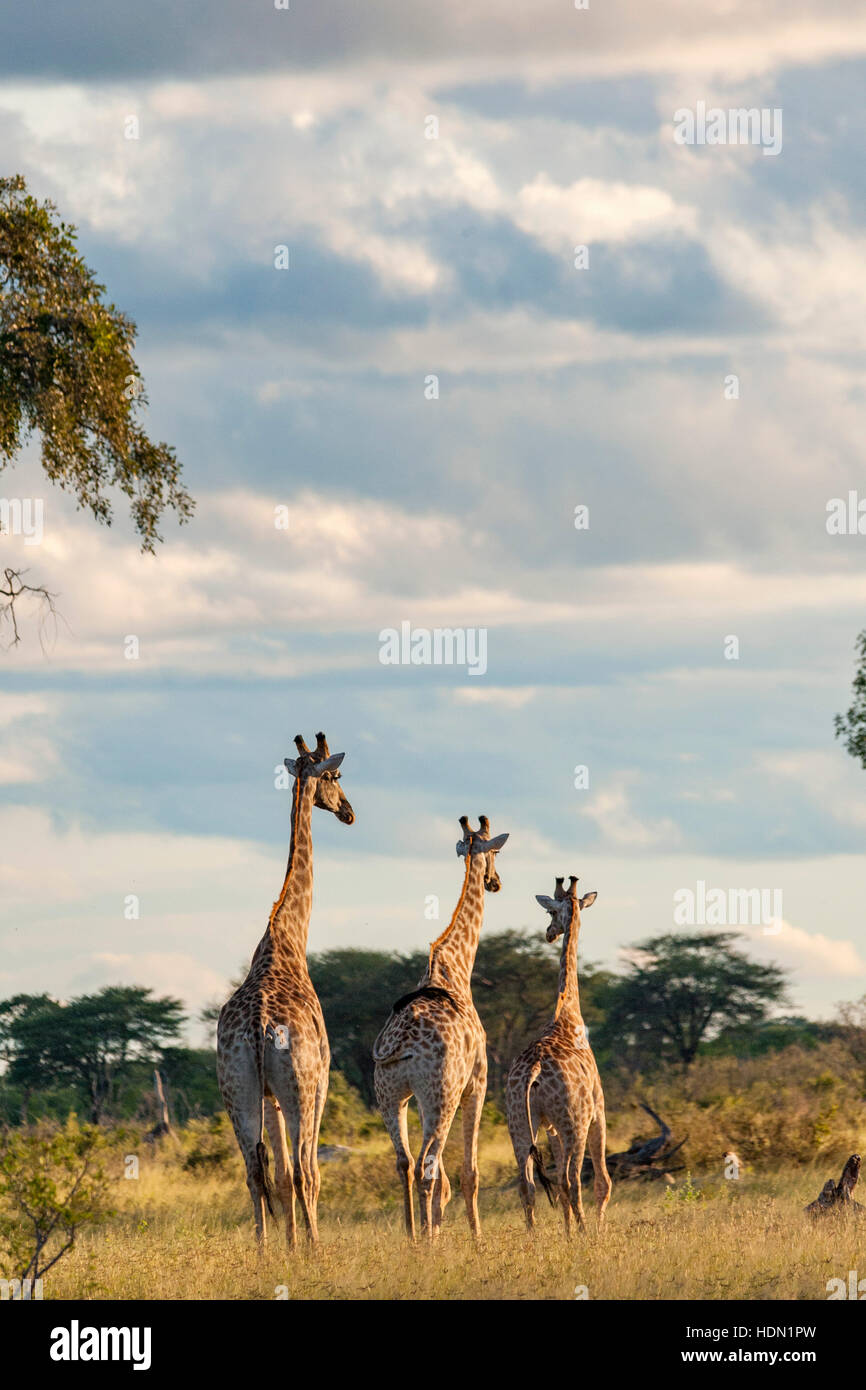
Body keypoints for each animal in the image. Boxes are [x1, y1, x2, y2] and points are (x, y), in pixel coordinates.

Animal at [216, 732, 355, 1247]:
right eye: (336, 775)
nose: (348, 812)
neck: (288, 937)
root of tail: (257, 1028)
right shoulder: (321, 1081)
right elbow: (305, 1172)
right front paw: (306, 1247)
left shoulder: (269, 1094)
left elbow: (276, 1174)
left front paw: (289, 1246)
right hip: (300, 1086)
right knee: (302, 1170)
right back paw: (314, 1249)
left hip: (237, 1088)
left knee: (255, 1170)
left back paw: (260, 1250)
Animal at [373, 815, 509, 1242]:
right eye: (495, 852)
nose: (495, 882)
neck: (456, 968)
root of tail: (400, 1044)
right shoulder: (477, 1082)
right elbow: (469, 1172)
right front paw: (477, 1239)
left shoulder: (419, 1097)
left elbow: (443, 1177)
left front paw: (435, 1225)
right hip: (442, 1096)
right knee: (425, 1165)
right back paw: (427, 1243)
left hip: (393, 1094)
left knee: (404, 1162)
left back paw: (413, 1237)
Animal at [505, 875, 611, 1235]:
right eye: (550, 911)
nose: (549, 933)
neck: (568, 1017)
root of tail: (534, 1070)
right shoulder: (597, 1110)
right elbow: (603, 1181)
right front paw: (590, 1230)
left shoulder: (549, 1126)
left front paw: (565, 1232)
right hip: (573, 1122)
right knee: (572, 1180)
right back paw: (585, 1232)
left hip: (520, 1122)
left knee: (527, 1184)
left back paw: (533, 1237)